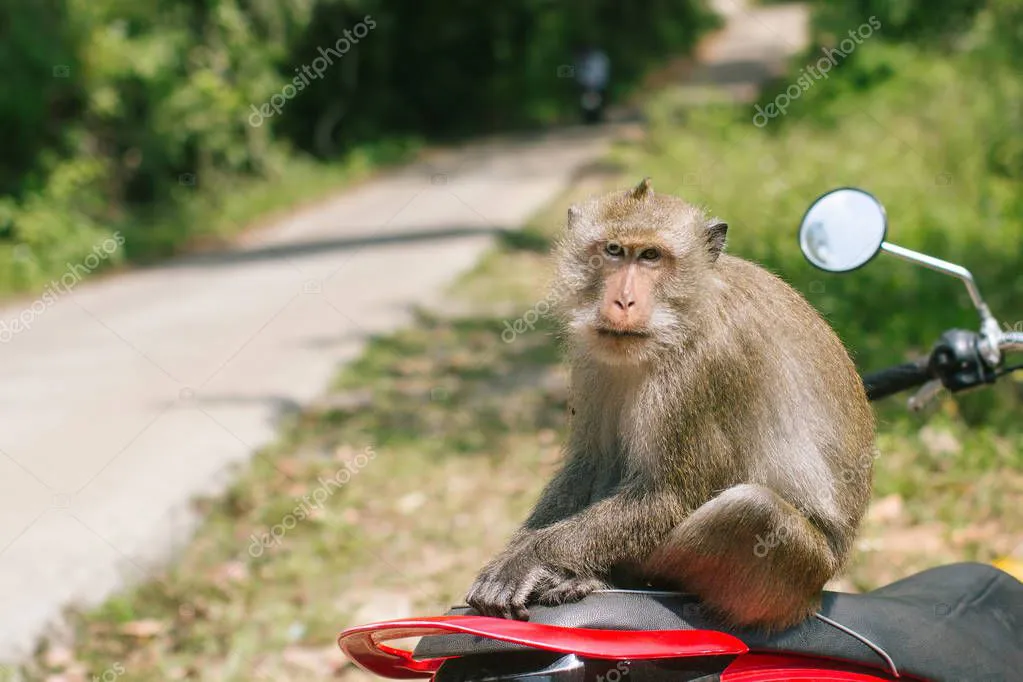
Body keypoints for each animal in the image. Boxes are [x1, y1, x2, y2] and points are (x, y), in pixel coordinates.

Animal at [465, 178, 876, 631]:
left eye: (651, 256)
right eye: (614, 251)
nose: (623, 302)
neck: (680, 320)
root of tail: (818, 592)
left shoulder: (707, 365)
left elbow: (671, 497)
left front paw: (529, 559)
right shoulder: (591, 359)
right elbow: (589, 466)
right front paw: (518, 550)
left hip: (792, 580)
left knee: (752, 510)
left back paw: (605, 577)